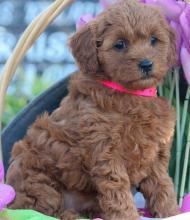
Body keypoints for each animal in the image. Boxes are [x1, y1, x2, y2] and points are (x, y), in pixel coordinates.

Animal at [5, 0, 179, 219]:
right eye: (120, 44)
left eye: (154, 40)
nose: (146, 64)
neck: (131, 94)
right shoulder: (106, 151)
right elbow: (118, 191)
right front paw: (128, 216)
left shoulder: (155, 154)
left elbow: (162, 185)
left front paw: (171, 212)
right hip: (36, 177)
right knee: (42, 208)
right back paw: (70, 214)